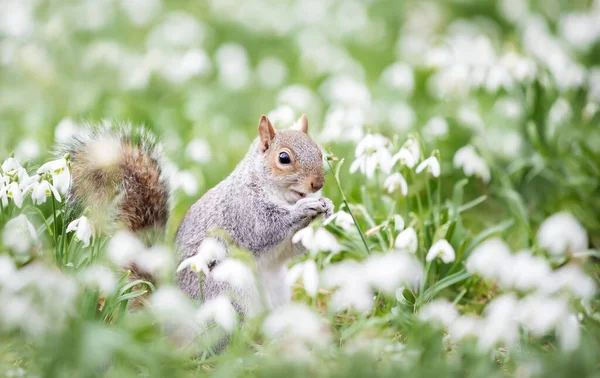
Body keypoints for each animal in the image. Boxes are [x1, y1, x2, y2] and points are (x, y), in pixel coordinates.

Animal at [62, 115, 332, 316]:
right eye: (283, 158)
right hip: (225, 292)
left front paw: (326, 208)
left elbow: (293, 247)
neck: (280, 196)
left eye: (320, 153)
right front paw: (305, 208)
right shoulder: (243, 209)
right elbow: (266, 228)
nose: (318, 184)